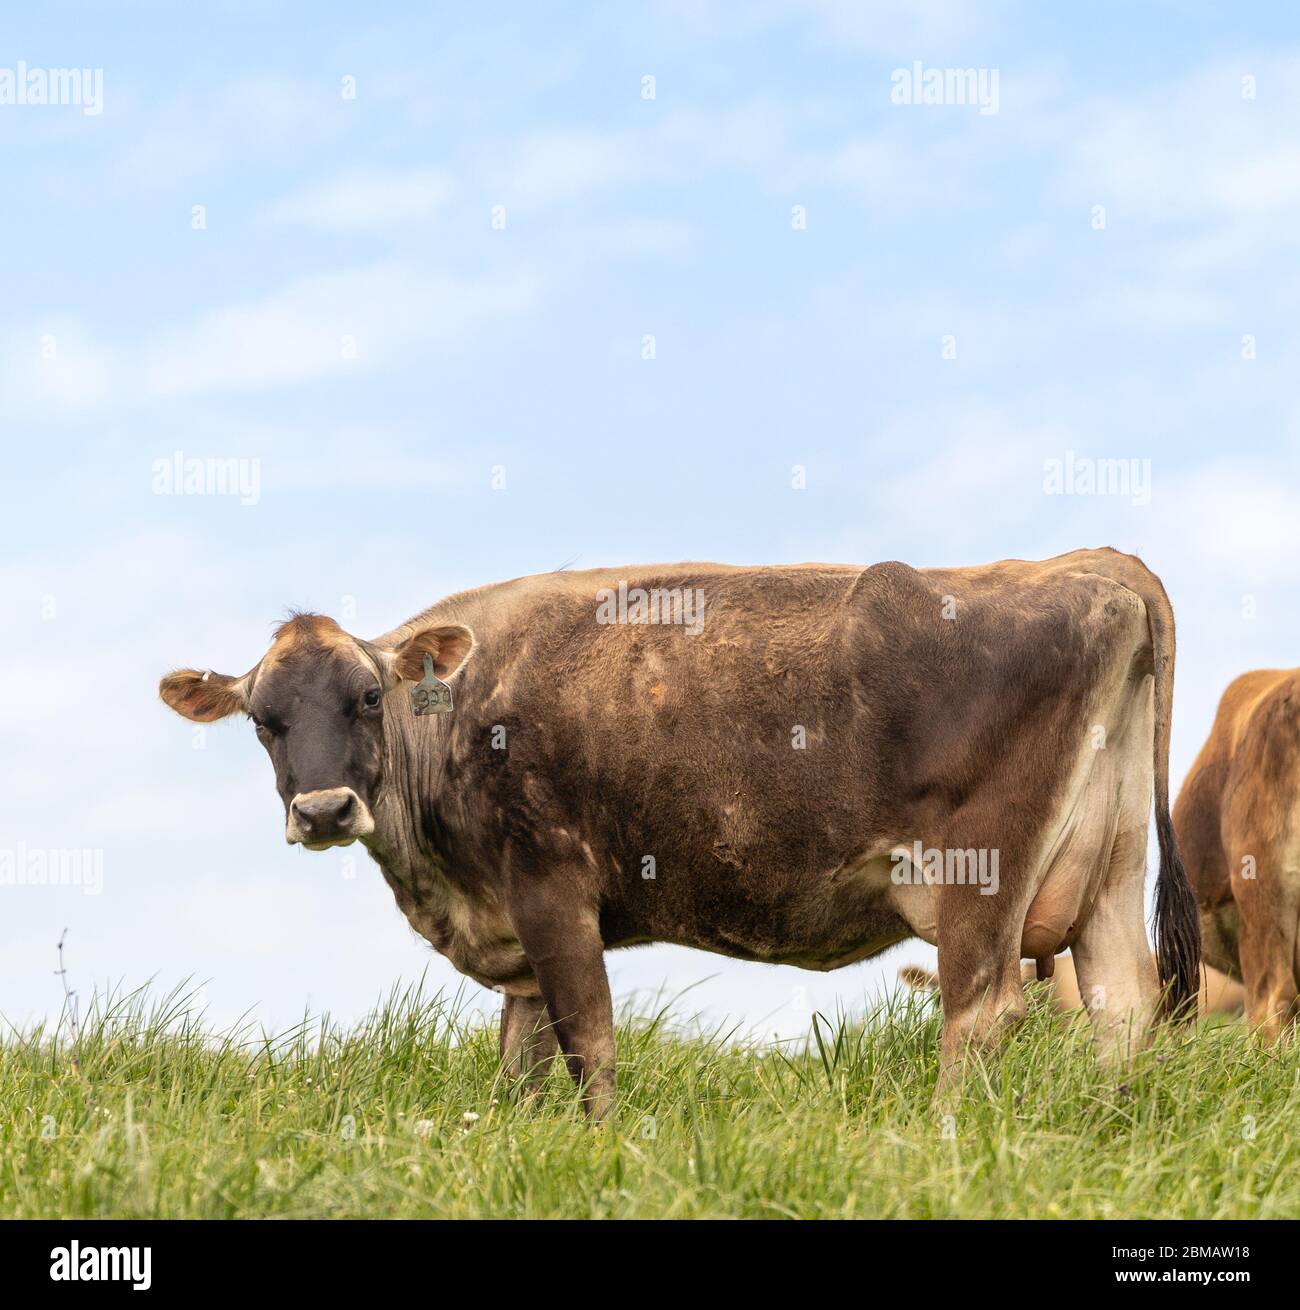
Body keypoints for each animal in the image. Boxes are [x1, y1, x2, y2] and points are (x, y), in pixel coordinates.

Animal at [159, 548, 1200, 1117]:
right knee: (1122, 1001)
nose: (323, 812)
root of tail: (1086, 566)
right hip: (1107, 865)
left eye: (369, 696)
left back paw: (937, 1141)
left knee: (984, 1013)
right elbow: (520, 1061)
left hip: (983, 870)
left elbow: (590, 1038)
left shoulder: (551, 888)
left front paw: (602, 1145)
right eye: (263, 719)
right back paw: (1103, 1124)